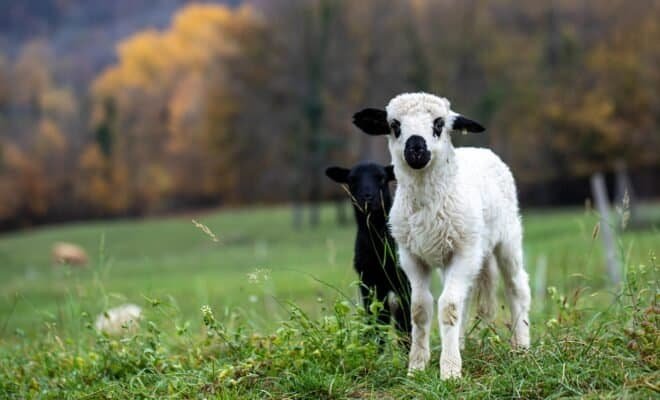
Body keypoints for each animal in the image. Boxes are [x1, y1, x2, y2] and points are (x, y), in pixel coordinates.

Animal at [325, 162, 411, 341]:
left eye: (382, 178)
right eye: (352, 180)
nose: (367, 198)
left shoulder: (404, 282)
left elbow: (404, 321)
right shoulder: (368, 280)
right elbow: (376, 319)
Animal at [352, 92, 531, 379]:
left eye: (439, 123)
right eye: (394, 125)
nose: (415, 148)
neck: (427, 204)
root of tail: (480, 150)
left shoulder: (464, 251)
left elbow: (447, 308)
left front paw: (449, 371)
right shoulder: (411, 257)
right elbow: (419, 309)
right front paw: (417, 367)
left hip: (507, 238)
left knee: (516, 287)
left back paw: (522, 347)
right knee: (465, 299)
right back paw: (461, 345)